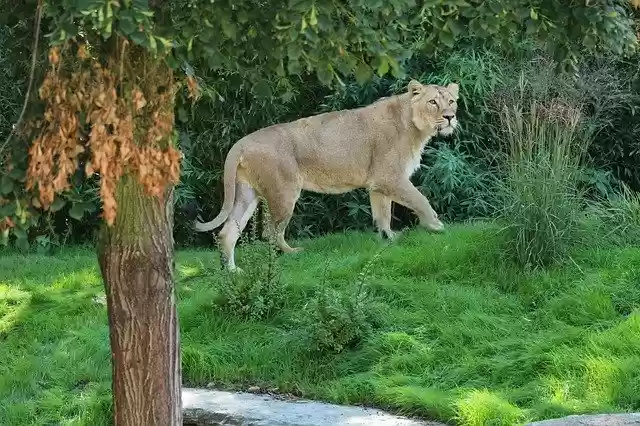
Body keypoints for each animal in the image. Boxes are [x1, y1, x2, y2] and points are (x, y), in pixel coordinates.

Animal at [194, 79, 460, 271]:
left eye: (452, 101)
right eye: (433, 102)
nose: (450, 117)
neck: (415, 127)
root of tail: (241, 143)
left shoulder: (378, 183)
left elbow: (382, 214)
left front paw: (388, 240)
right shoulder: (390, 176)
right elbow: (420, 199)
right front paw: (436, 226)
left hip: (247, 193)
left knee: (228, 232)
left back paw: (233, 272)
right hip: (284, 192)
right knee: (270, 231)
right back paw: (291, 254)